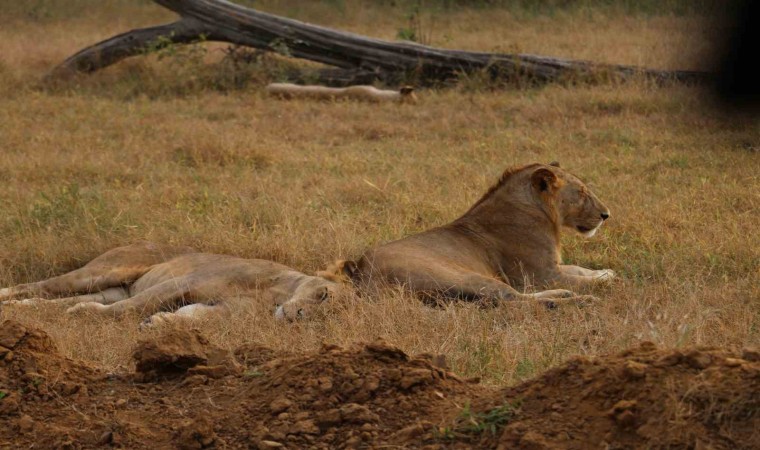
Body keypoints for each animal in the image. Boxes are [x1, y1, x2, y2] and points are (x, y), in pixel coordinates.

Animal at [330, 163, 616, 308]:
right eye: (581, 192)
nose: (606, 214)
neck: (542, 212)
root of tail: (361, 272)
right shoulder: (539, 275)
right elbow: (579, 279)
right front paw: (605, 283)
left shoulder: (552, 268)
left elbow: (579, 269)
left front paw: (605, 273)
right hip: (468, 277)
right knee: (513, 300)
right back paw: (579, 300)